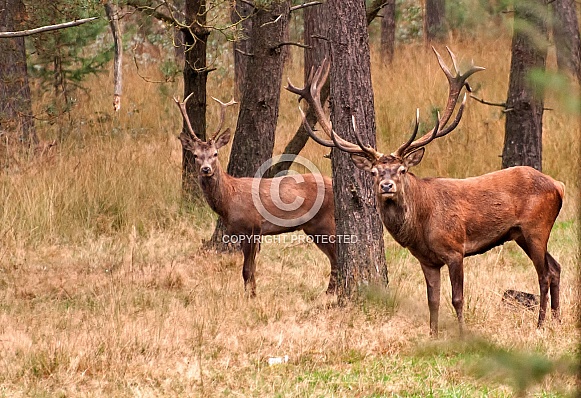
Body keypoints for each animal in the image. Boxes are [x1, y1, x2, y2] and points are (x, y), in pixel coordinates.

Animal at [174, 95, 338, 296]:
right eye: (196, 155)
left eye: (215, 153)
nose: (206, 169)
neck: (229, 201)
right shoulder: (241, 232)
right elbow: (251, 269)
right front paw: (253, 292)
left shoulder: (252, 227)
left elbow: (247, 269)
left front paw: (250, 296)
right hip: (313, 228)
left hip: (325, 222)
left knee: (336, 258)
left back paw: (330, 293)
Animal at [288, 49, 564, 336]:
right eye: (374, 172)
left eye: (401, 170)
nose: (387, 186)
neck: (421, 223)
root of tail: (558, 186)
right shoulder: (427, 260)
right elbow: (432, 299)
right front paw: (432, 335)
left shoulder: (454, 249)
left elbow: (457, 298)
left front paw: (462, 334)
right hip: (521, 234)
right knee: (556, 267)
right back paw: (557, 320)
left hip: (536, 227)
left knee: (544, 274)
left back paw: (541, 324)